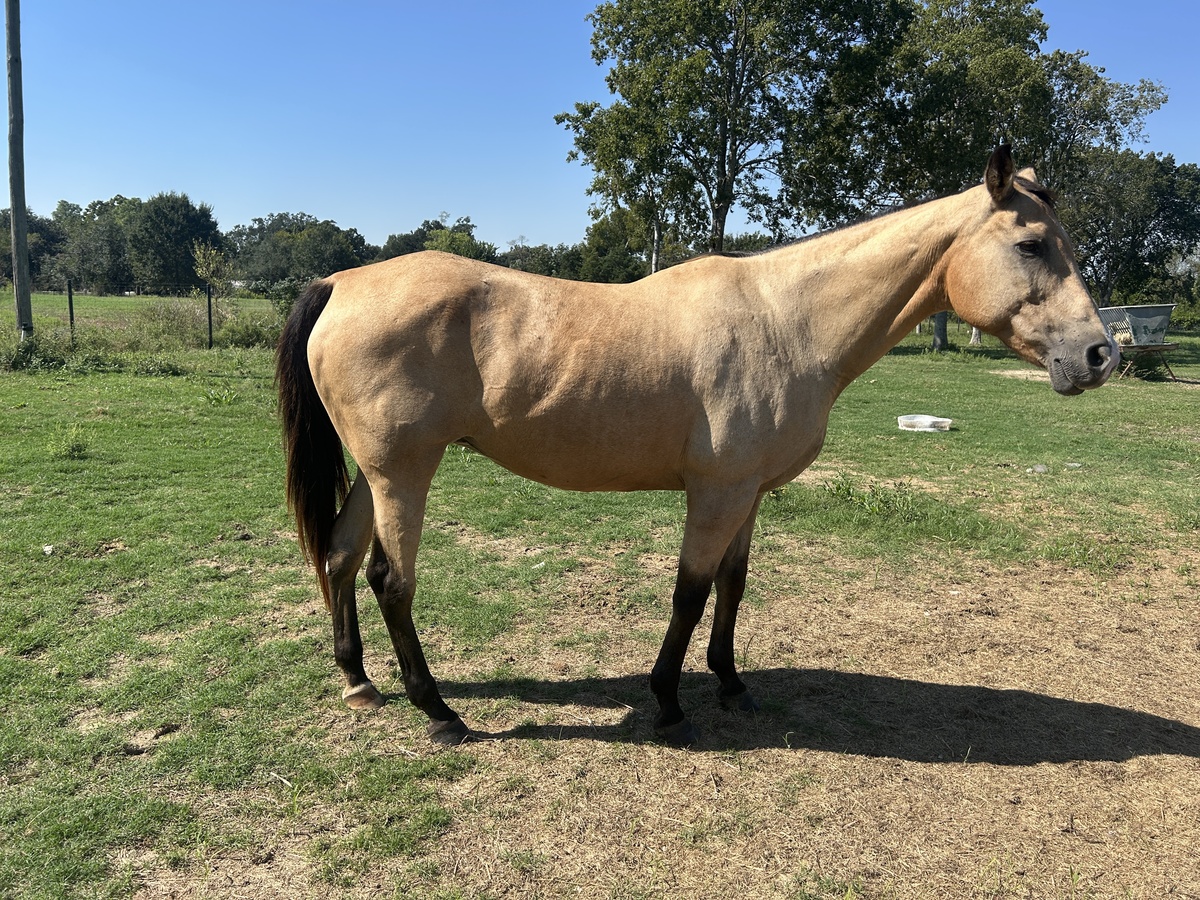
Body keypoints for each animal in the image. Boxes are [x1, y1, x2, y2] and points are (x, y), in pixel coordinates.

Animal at [276, 147, 1118, 746]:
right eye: (1033, 244)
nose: (1100, 357)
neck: (787, 320)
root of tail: (343, 282)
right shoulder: (714, 493)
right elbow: (689, 592)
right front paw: (669, 703)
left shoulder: (748, 493)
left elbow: (732, 589)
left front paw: (732, 683)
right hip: (403, 472)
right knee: (390, 580)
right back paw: (440, 714)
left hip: (376, 471)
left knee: (341, 558)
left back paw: (360, 682)